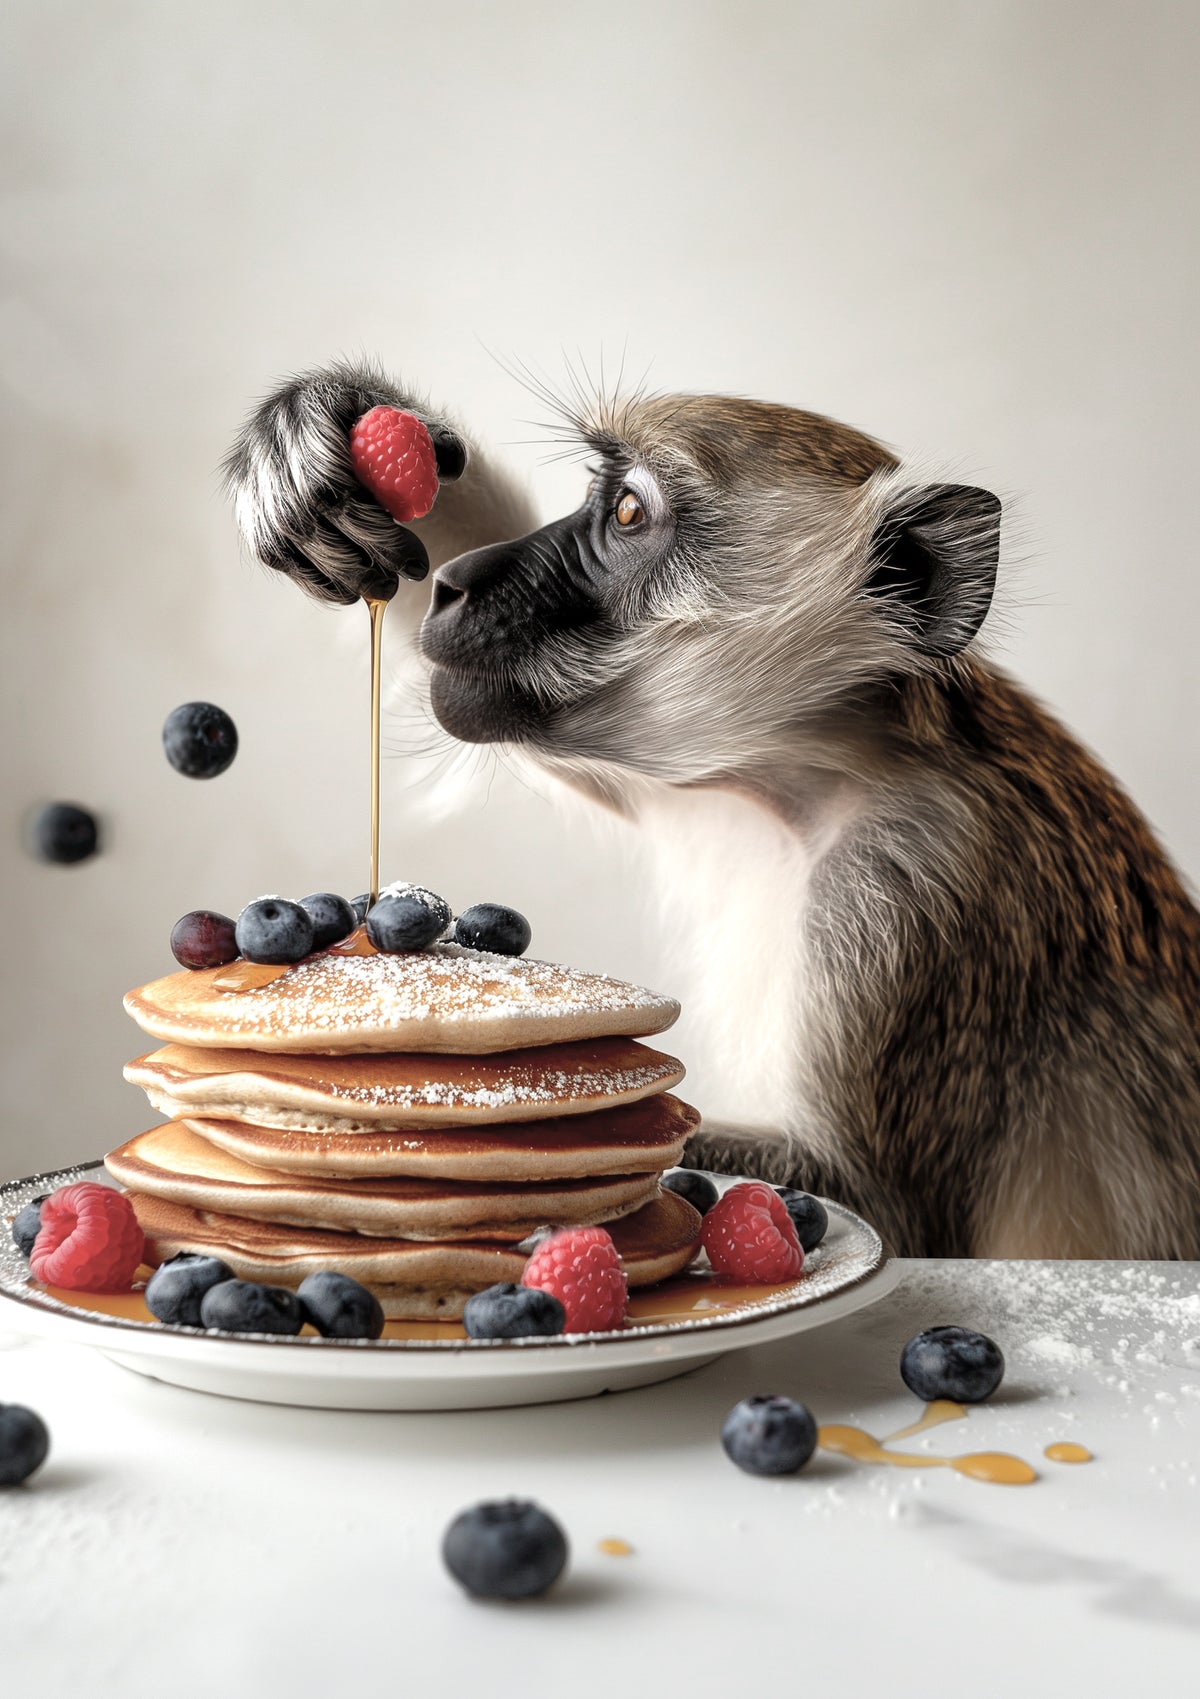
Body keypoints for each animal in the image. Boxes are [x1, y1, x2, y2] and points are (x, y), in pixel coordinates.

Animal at [225, 361, 1200, 1259]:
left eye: (627, 513)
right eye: (599, 495)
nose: (457, 583)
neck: (822, 776)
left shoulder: (908, 893)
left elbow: (875, 1205)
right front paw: (321, 422)